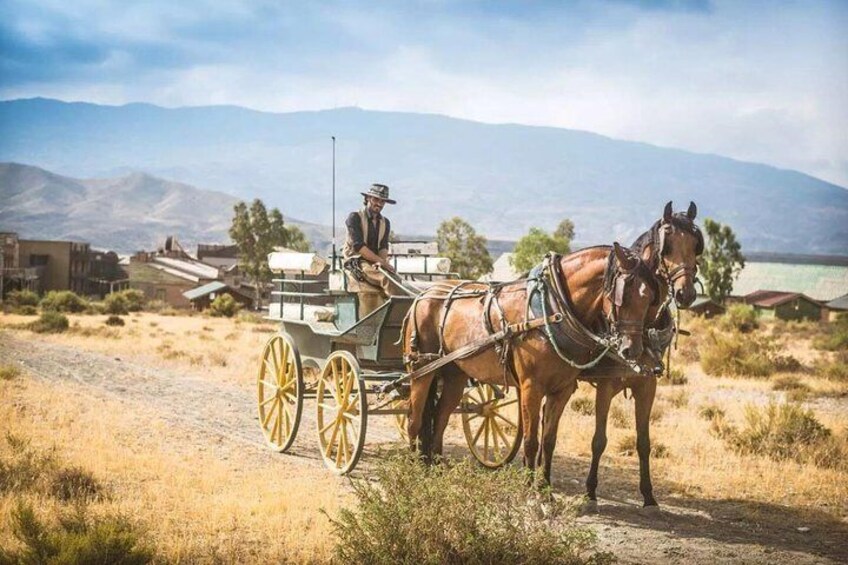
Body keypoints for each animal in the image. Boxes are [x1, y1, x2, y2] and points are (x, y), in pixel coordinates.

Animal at [404, 240, 664, 482]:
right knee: (414, 419)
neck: (552, 310)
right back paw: (412, 469)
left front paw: (544, 488)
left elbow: (548, 440)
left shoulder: (562, 390)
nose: (632, 349)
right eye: (623, 295)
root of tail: (423, 294)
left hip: (454, 374)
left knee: (440, 418)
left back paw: (436, 468)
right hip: (421, 369)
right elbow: (530, 441)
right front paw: (529, 488)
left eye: (651, 298)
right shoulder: (531, 387)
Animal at [584, 202, 704, 506]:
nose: (686, 293)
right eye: (668, 244)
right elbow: (599, 440)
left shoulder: (647, 386)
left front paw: (648, 494)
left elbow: (644, 441)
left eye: (696, 243)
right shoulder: (605, 386)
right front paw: (590, 489)